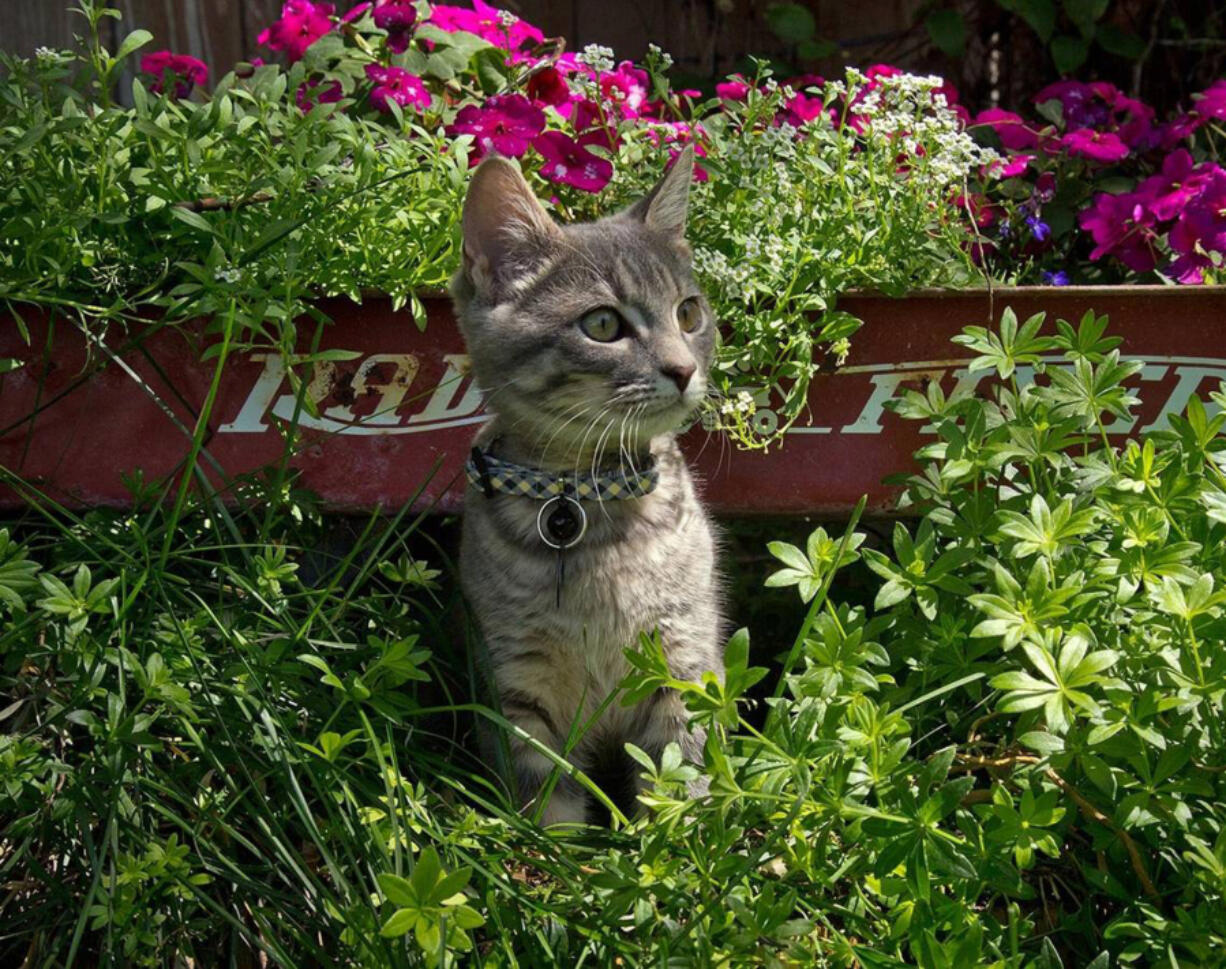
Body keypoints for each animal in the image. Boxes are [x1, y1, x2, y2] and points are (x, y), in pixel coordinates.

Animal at [448, 147, 715, 824]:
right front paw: (554, 854)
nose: (684, 369)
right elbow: (548, 801)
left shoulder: (682, 652)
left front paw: (681, 841)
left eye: (689, 313)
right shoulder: (515, 684)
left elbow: (680, 769)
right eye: (601, 324)